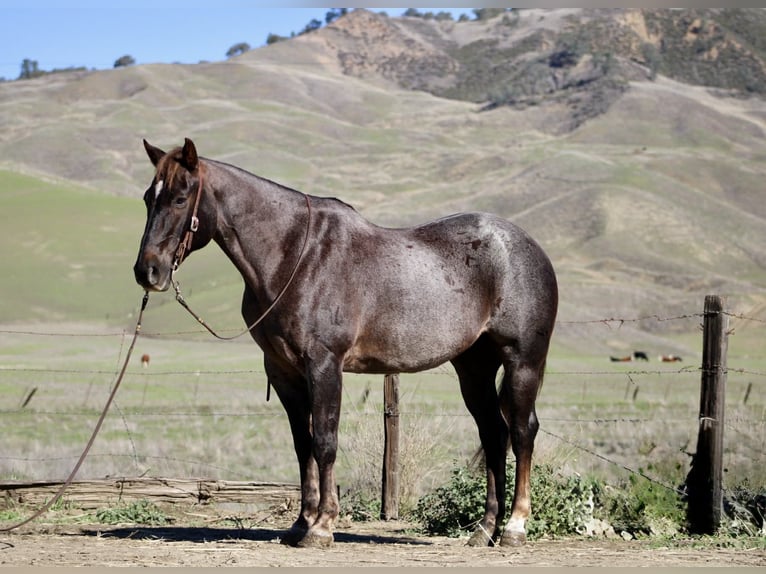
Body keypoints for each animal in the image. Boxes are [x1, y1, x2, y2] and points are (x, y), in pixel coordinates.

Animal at [133, 138, 558, 549]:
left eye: (180, 198)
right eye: (148, 198)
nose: (147, 271)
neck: (295, 255)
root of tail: (528, 247)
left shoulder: (324, 364)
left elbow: (325, 441)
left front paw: (322, 527)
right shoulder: (284, 372)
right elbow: (302, 445)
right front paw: (301, 523)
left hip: (522, 362)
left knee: (522, 433)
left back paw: (514, 528)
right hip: (474, 368)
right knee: (494, 435)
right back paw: (484, 530)